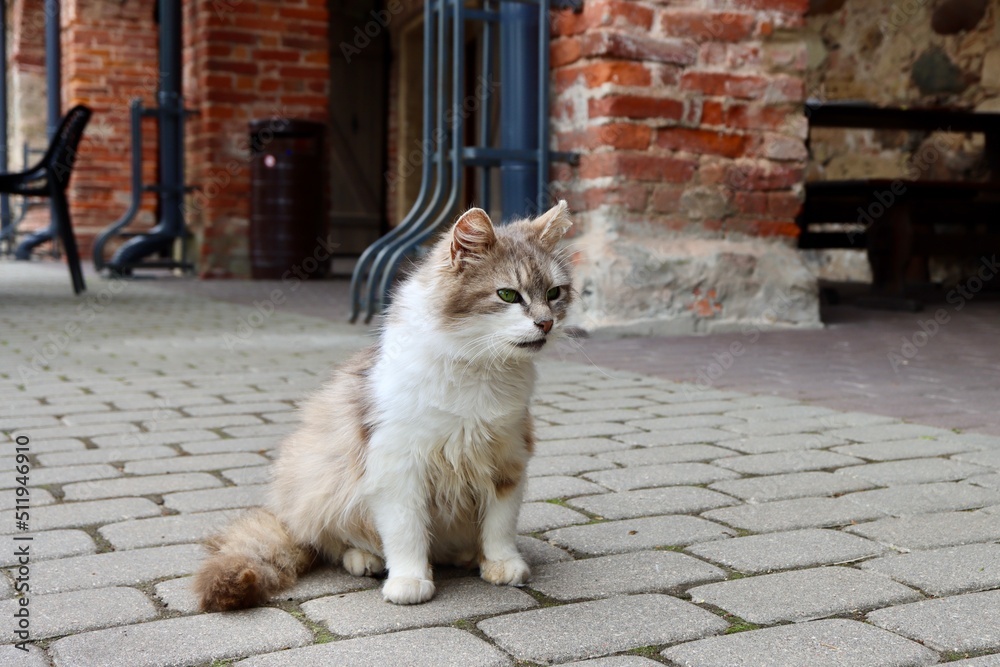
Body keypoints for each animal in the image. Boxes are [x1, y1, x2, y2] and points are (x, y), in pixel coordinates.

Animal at [195, 200, 576, 612]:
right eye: (508, 295)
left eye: (554, 293)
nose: (546, 323)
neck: (479, 370)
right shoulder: (397, 468)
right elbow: (406, 533)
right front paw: (410, 580)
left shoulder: (508, 461)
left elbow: (499, 526)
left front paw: (501, 564)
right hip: (320, 484)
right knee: (334, 543)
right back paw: (365, 559)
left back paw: (464, 555)